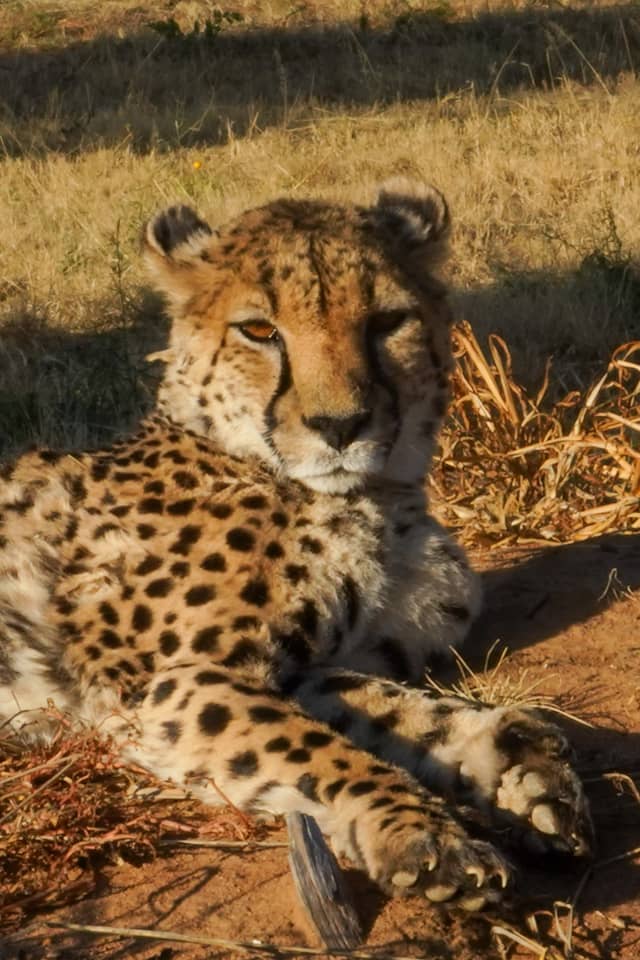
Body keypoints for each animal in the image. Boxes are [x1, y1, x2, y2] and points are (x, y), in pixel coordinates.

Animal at [0, 179, 593, 911]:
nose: (340, 425)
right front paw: (424, 833)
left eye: (386, 322)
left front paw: (518, 759)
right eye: (259, 331)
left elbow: (401, 709)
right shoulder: (164, 687)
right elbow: (315, 750)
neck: (378, 502)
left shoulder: (305, 666)